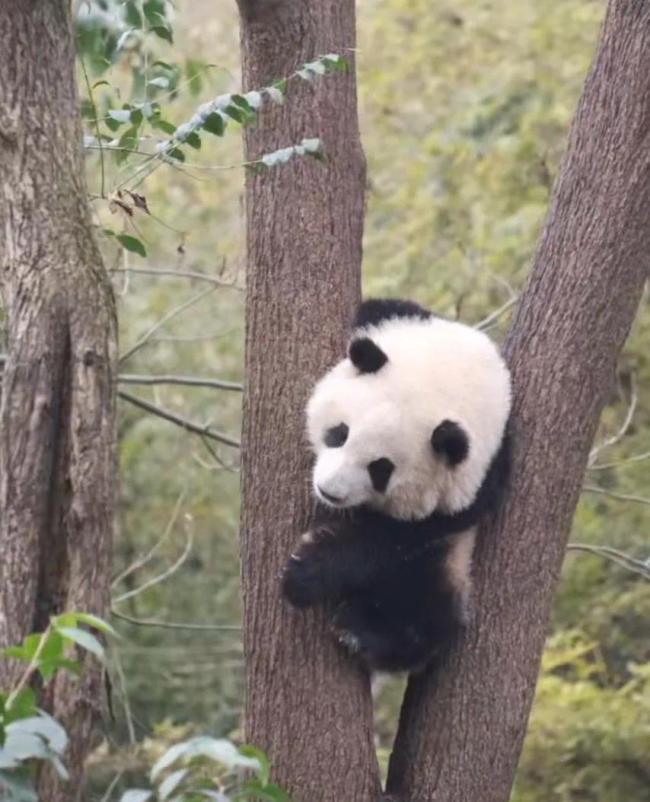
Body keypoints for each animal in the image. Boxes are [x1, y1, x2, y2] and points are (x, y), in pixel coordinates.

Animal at [280, 296, 508, 672]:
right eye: (340, 433)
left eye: (381, 470)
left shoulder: (477, 484)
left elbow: (393, 535)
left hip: (447, 565)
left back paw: (362, 632)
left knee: (421, 609)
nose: (329, 491)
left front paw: (305, 572)